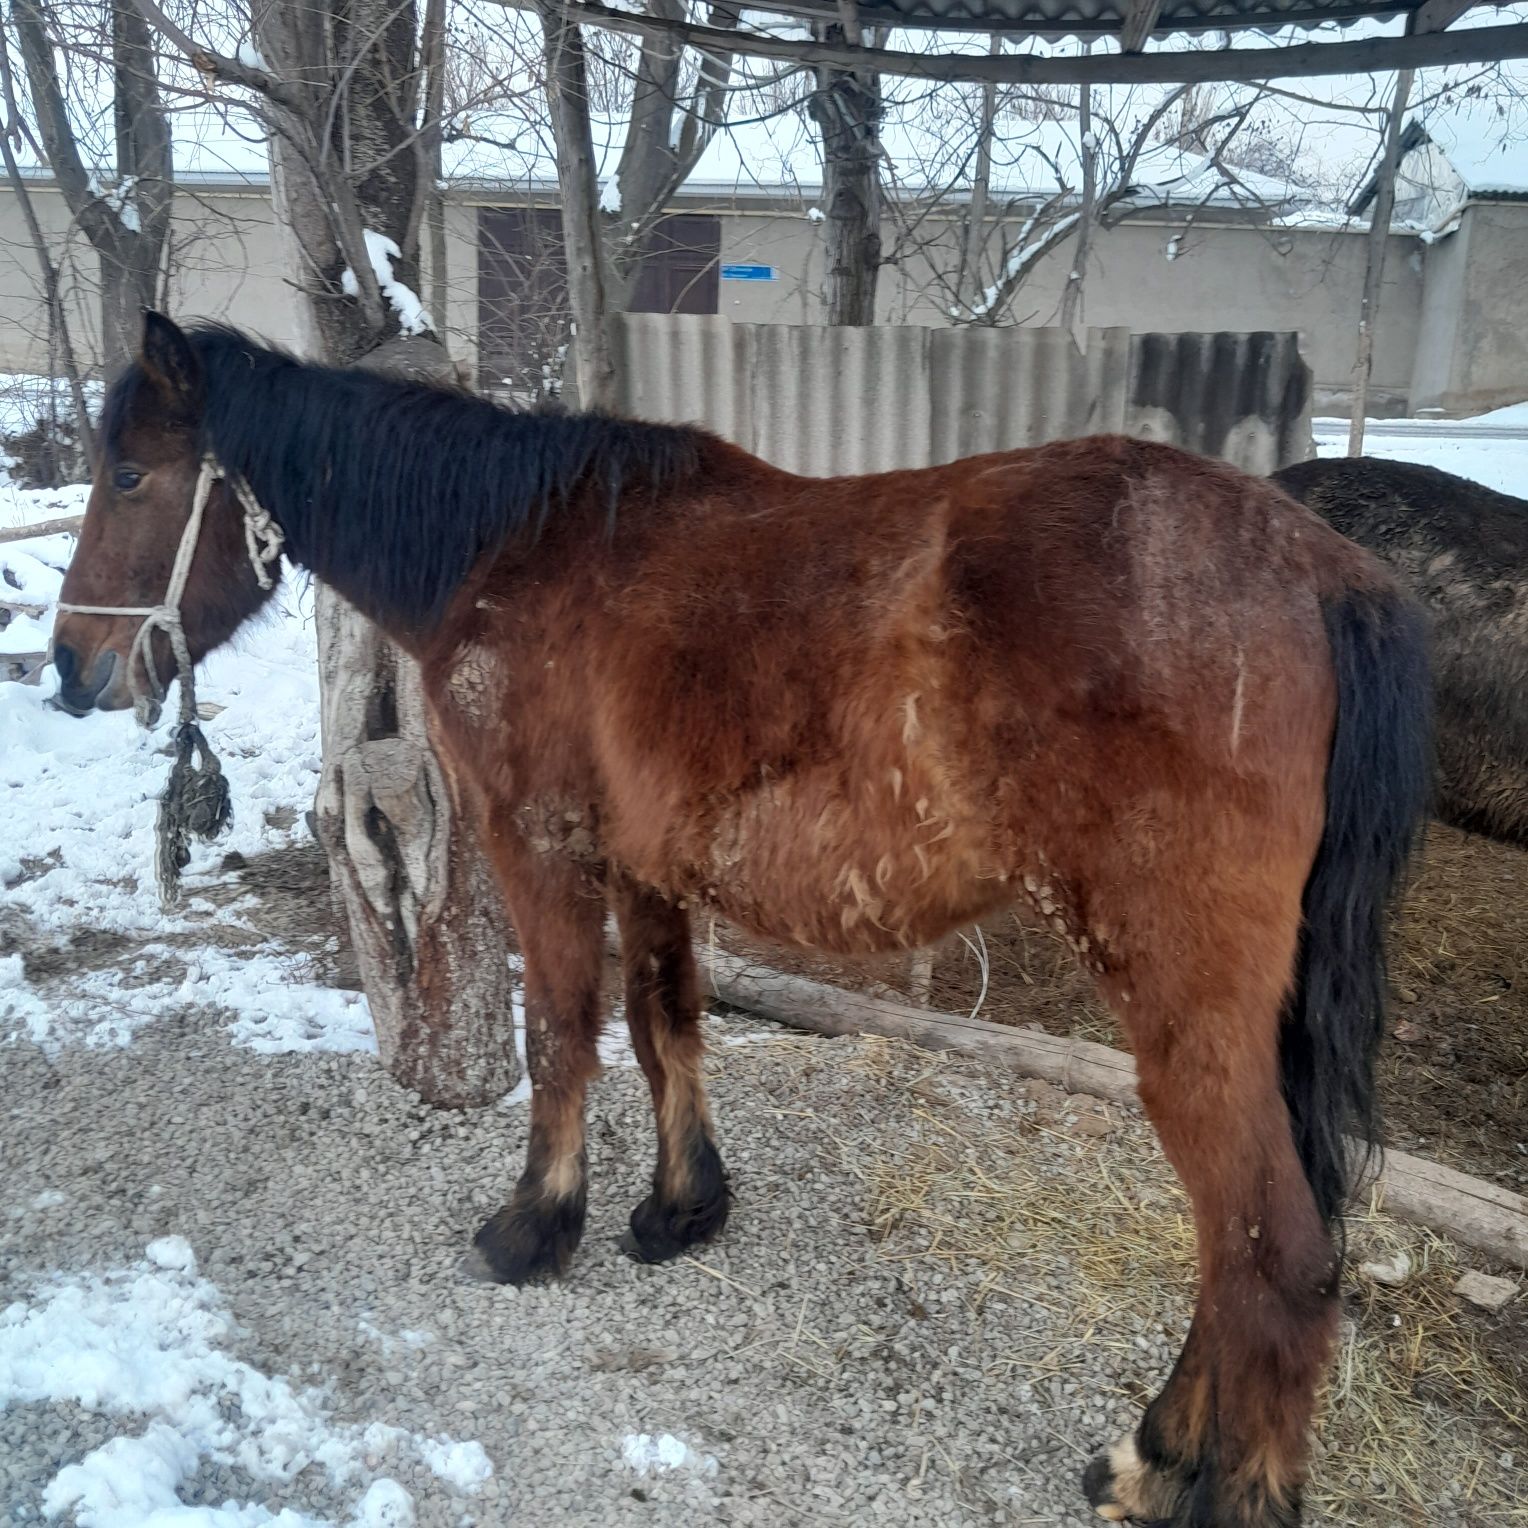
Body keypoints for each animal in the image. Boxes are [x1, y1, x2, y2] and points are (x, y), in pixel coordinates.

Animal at [50, 313, 1430, 1528]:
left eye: (129, 473)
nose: (68, 667)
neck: (518, 547)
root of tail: (1320, 573)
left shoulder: (540, 849)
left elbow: (562, 1033)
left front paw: (534, 1227)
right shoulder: (648, 868)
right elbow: (664, 1025)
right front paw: (678, 1209)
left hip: (1177, 996)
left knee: (1270, 1255)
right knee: (1238, 1246)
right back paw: (1149, 1459)